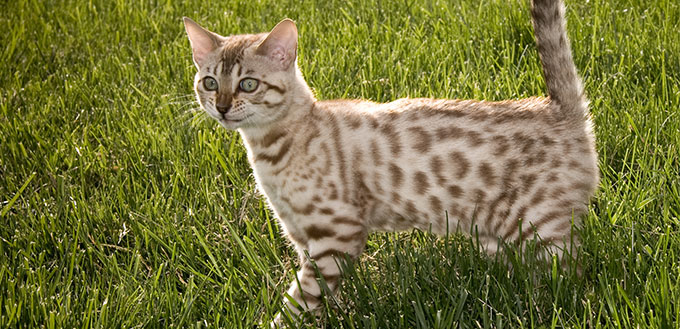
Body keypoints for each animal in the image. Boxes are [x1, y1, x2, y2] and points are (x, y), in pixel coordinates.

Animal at [183, 0, 596, 322]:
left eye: (248, 84)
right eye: (209, 82)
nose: (221, 107)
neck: (267, 151)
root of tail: (559, 109)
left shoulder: (336, 234)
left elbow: (299, 302)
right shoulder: (303, 237)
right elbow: (326, 298)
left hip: (539, 229)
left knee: (572, 281)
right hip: (496, 234)